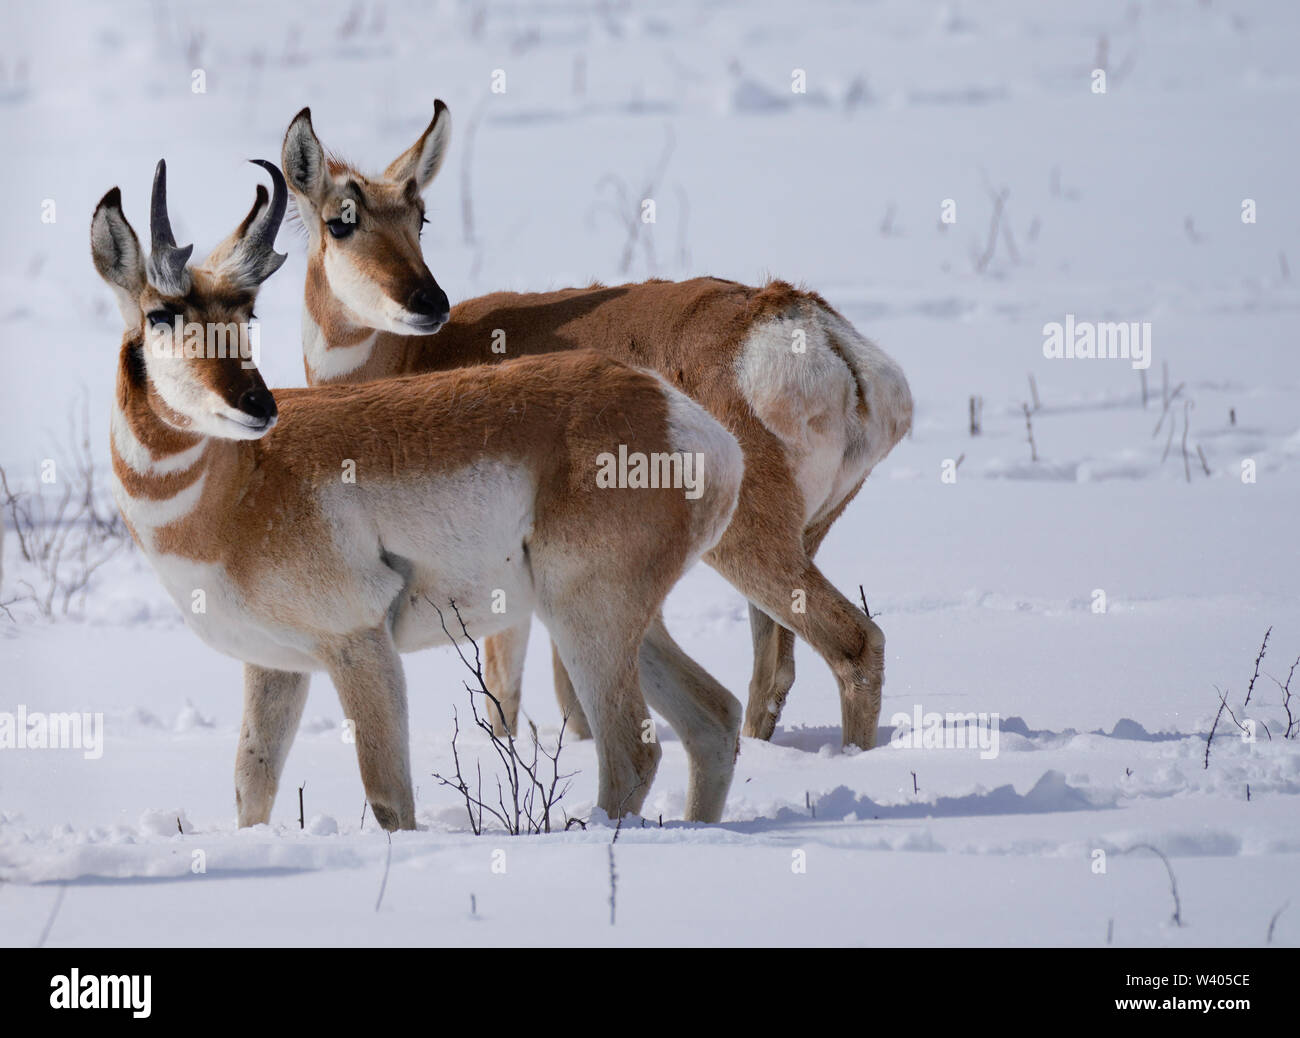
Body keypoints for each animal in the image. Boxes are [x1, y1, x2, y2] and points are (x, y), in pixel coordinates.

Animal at [91, 158, 743, 832]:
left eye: (246, 319)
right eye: (162, 316)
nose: (258, 405)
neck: (238, 484)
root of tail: (680, 417)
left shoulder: (360, 643)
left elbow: (388, 799)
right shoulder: (277, 664)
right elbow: (253, 786)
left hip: (588, 615)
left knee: (633, 751)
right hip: (618, 620)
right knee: (715, 718)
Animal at [284, 103, 915, 749]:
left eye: (420, 215)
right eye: (341, 222)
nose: (429, 301)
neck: (412, 359)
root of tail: (805, 322)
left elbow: (505, 693)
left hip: (750, 538)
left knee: (854, 641)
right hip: (805, 534)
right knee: (775, 671)